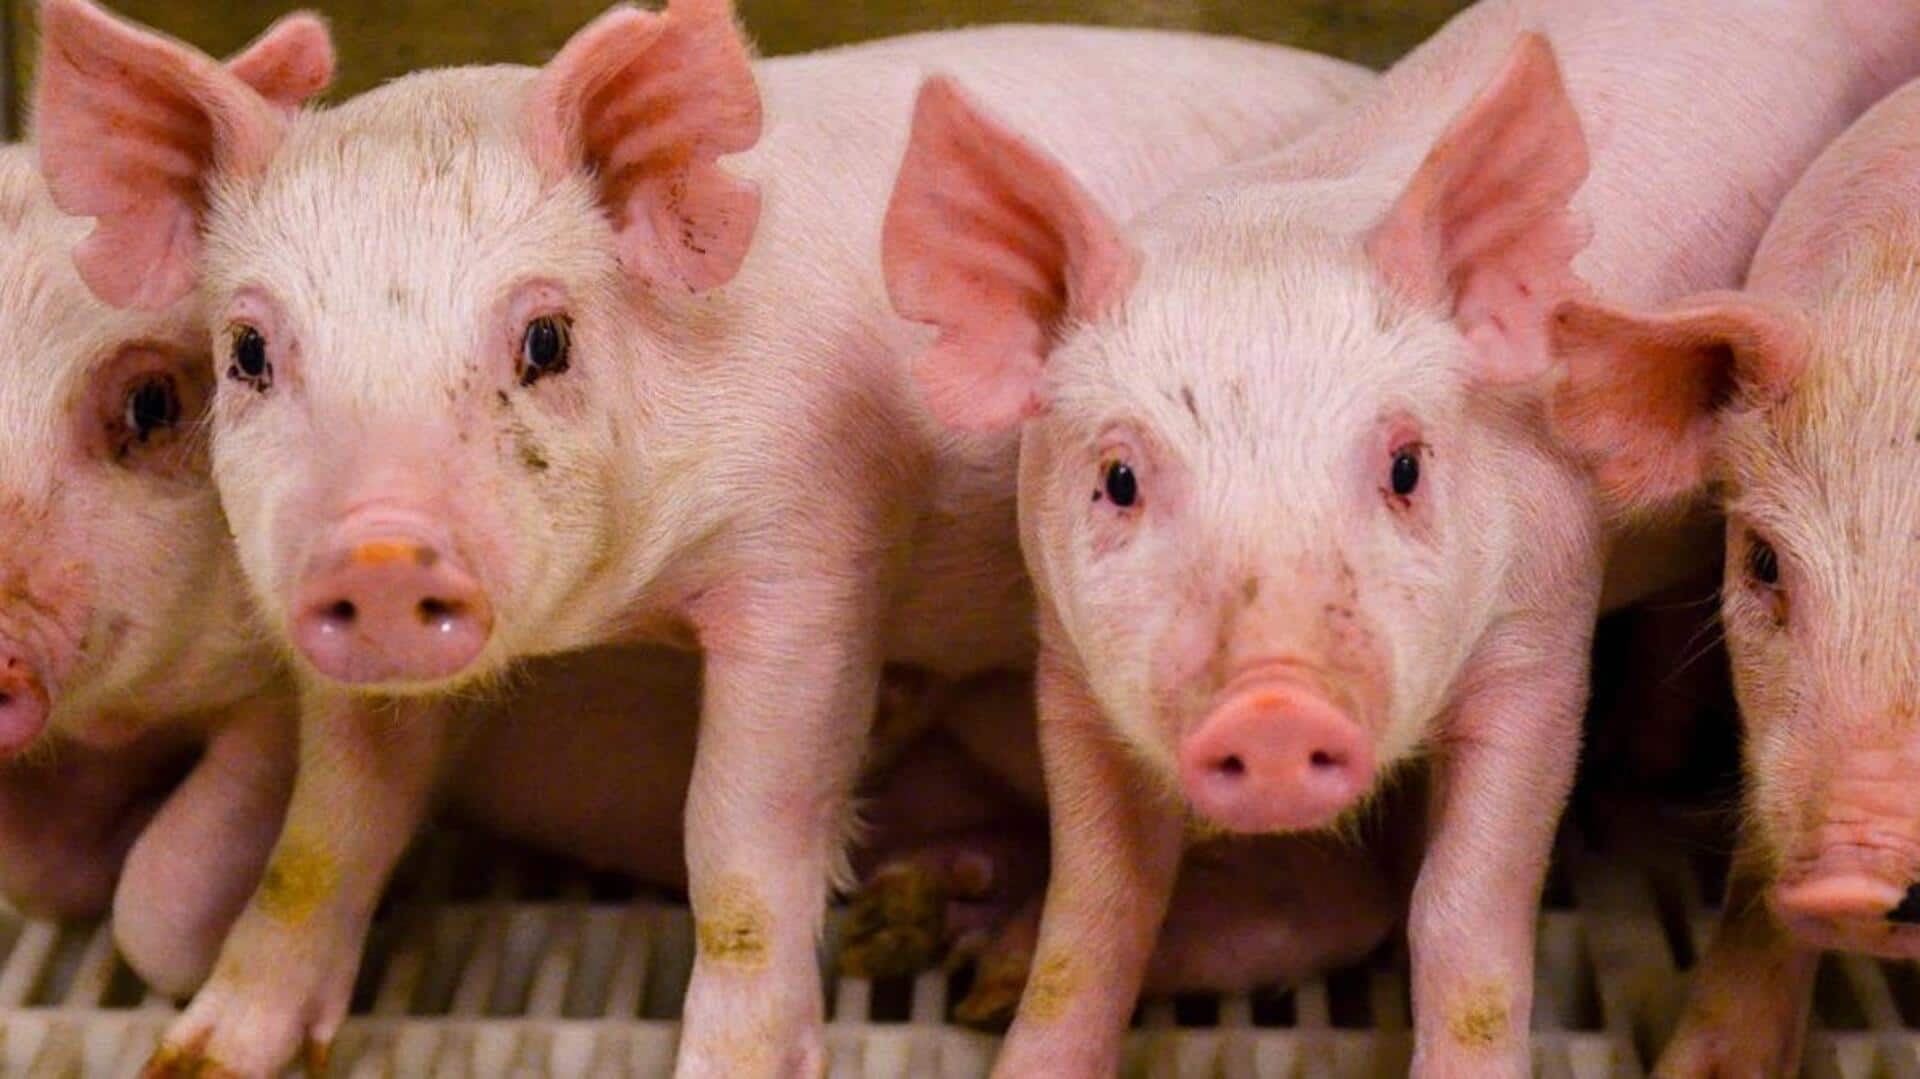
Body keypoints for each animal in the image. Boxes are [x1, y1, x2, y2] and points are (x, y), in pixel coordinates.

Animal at [31, 0, 1379, 1073]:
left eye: (545, 338)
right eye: (249, 350)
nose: (381, 552)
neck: (617, 604)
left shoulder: (815, 547)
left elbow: (739, 843)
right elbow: (330, 826)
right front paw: (196, 1054)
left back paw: (985, 972)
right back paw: (932, 918)